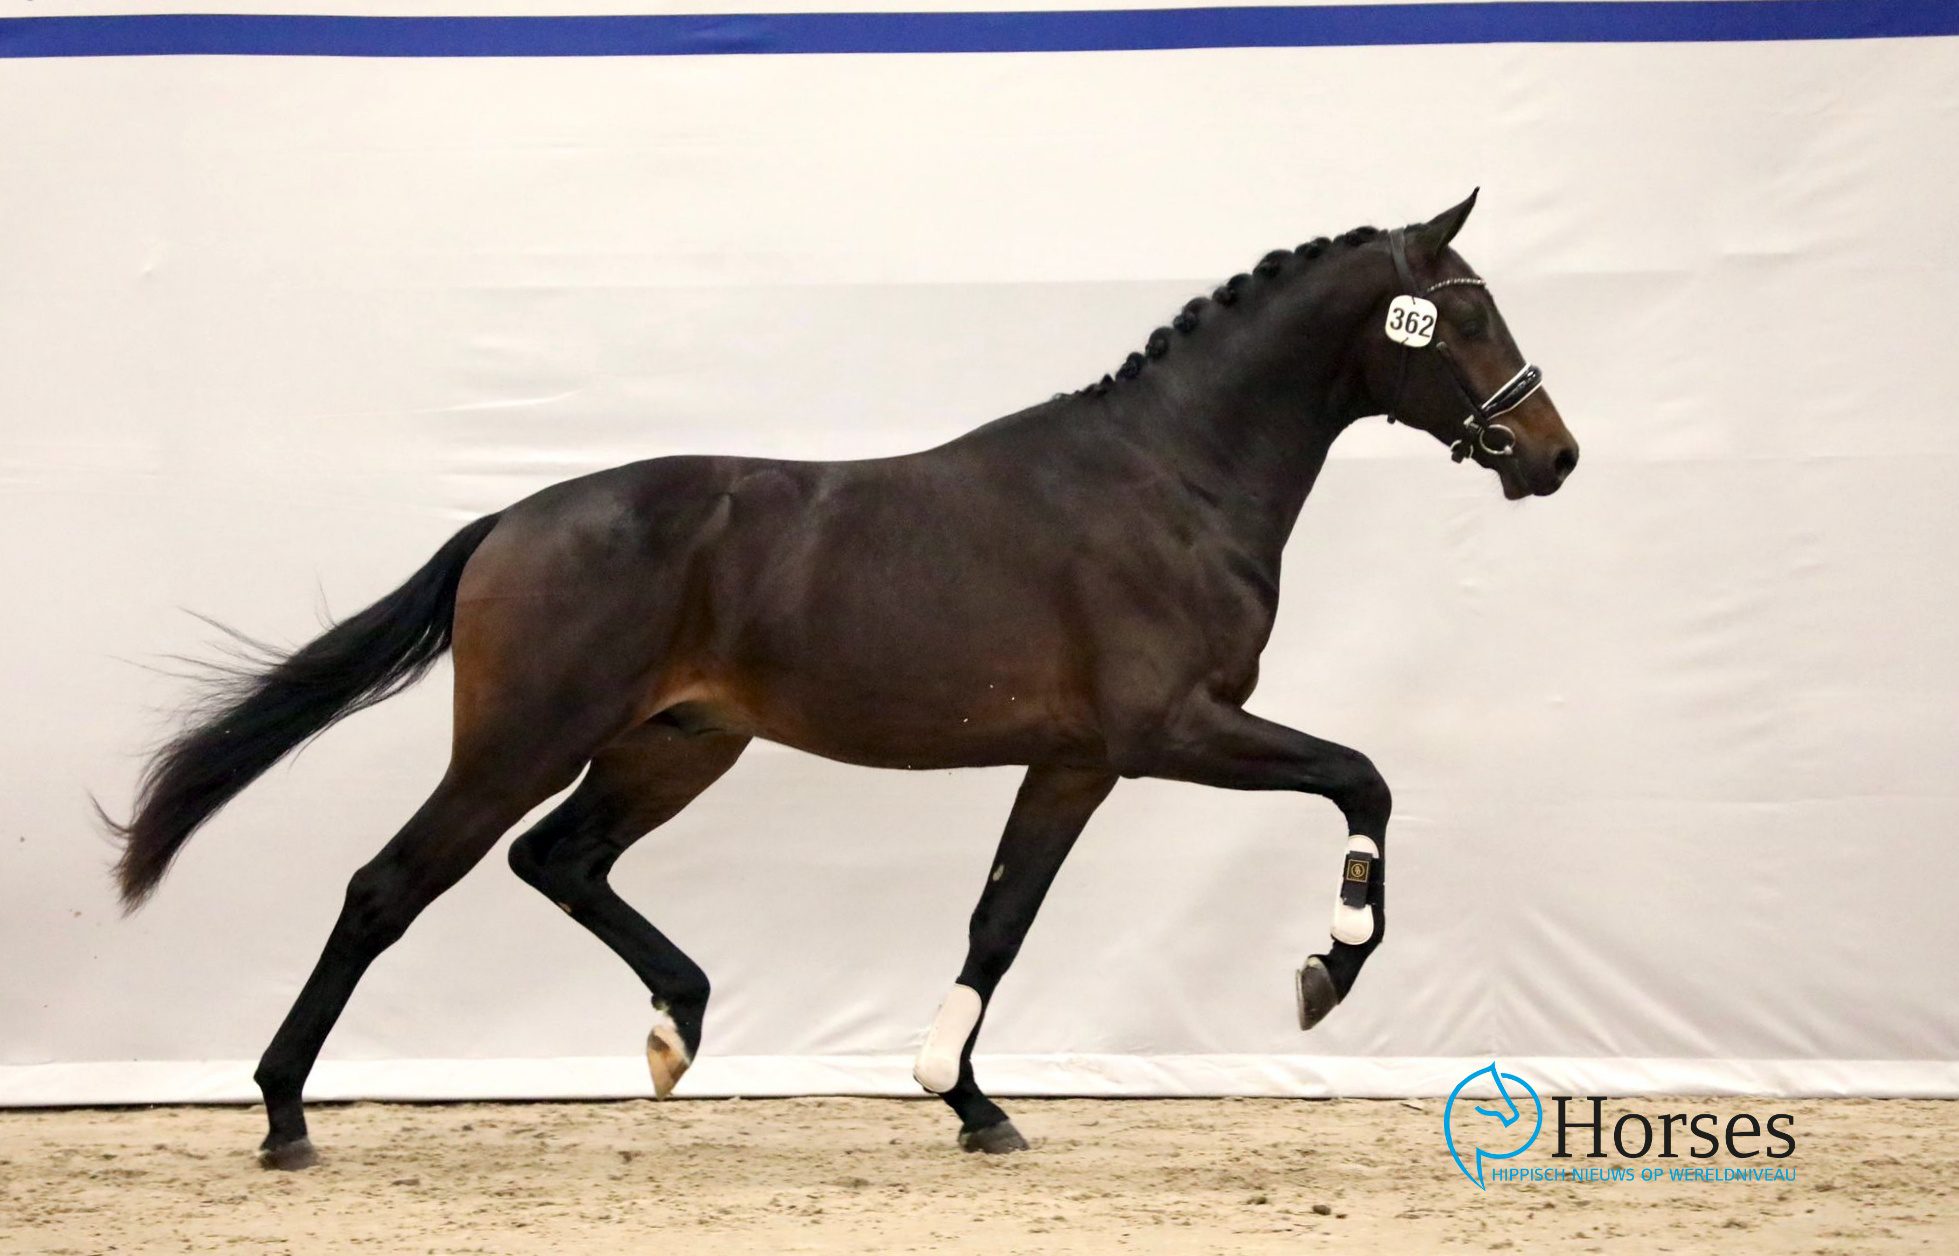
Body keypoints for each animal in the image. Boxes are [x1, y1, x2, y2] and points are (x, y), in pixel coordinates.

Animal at [103, 191, 1579, 1169]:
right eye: (1462, 308)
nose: (1551, 454)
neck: (1169, 480)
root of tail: (510, 523)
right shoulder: (1172, 728)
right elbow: (1361, 779)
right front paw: (1329, 967)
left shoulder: (1075, 759)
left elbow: (1000, 921)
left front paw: (966, 1098)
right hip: (524, 743)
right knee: (391, 885)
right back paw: (284, 1114)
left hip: (677, 745)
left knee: (557, 859)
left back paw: (676, 1025)